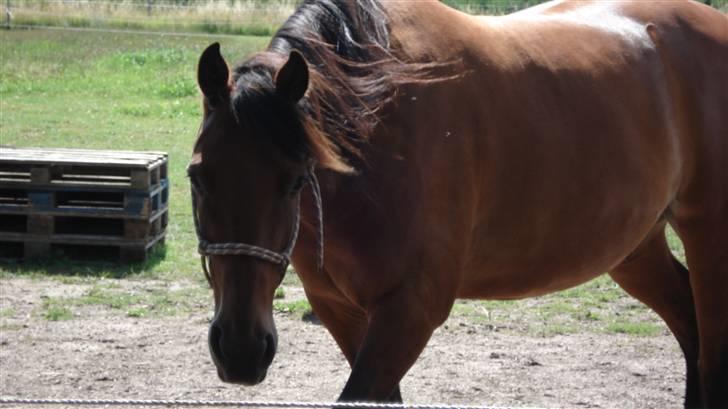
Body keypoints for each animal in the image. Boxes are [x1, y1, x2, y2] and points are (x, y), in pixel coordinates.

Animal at [189, 0, 728, 404]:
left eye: (296, 181)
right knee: (691, 330)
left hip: (707, 236)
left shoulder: (412, 310)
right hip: (635, 248)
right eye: (198, 177)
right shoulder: (340, 309)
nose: (240, 350)